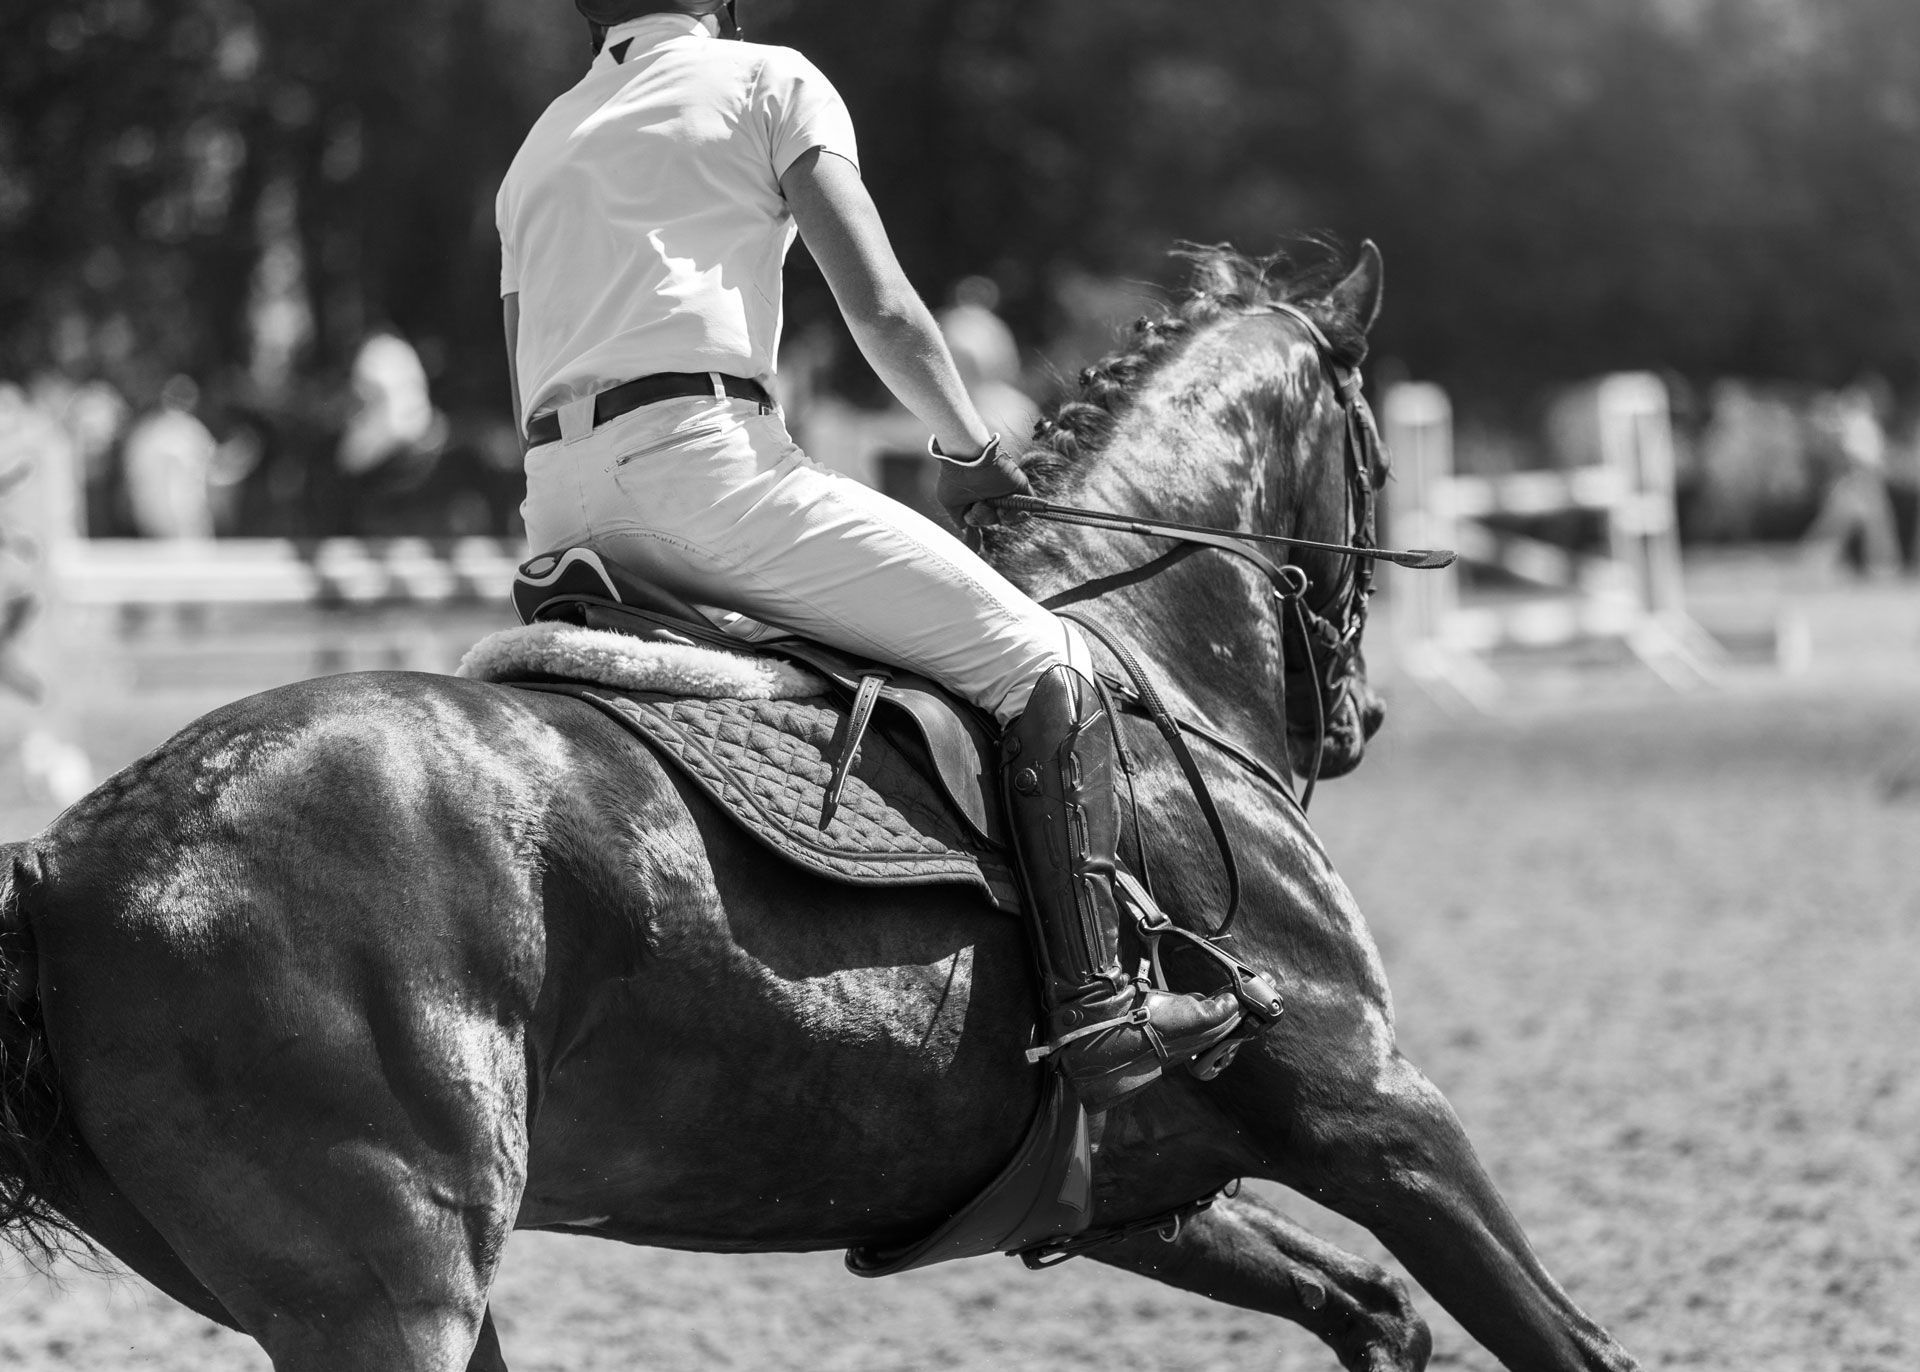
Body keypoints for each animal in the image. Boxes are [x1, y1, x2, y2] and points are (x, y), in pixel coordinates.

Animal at [0, 242, 1640, 1372]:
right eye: (1374, 456)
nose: (1355, 721)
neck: (1141, 655)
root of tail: (68, 861)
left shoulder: (1131, 1191)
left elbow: (1378, 1313)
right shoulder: (1374, 1109)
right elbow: (1568, 1343)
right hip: (391, 1290)